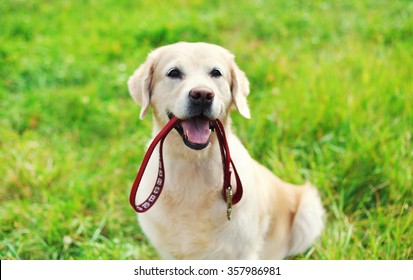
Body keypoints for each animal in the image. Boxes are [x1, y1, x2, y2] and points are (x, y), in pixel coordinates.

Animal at [127, 42, 324, 260]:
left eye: (216, 73)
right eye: (174, 73)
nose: (202, 95)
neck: (193, 164)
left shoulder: (243, 251)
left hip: (308, 210)